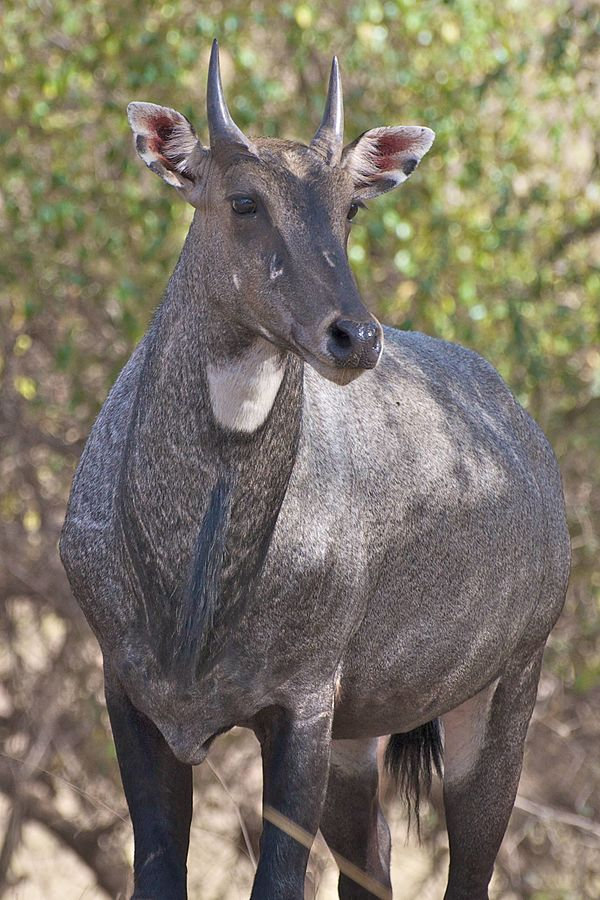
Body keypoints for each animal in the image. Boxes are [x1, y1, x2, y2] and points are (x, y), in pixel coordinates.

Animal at [61, 38, 572, 896]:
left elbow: (277, 881)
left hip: (500, 698)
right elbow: (158, 875)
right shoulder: (131, 694)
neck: (193, 585)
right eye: (243, 200)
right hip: (358, 743)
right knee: (373, 866)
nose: (354, 338)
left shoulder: (299, 706)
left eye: (349, 207)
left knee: (468, 873)